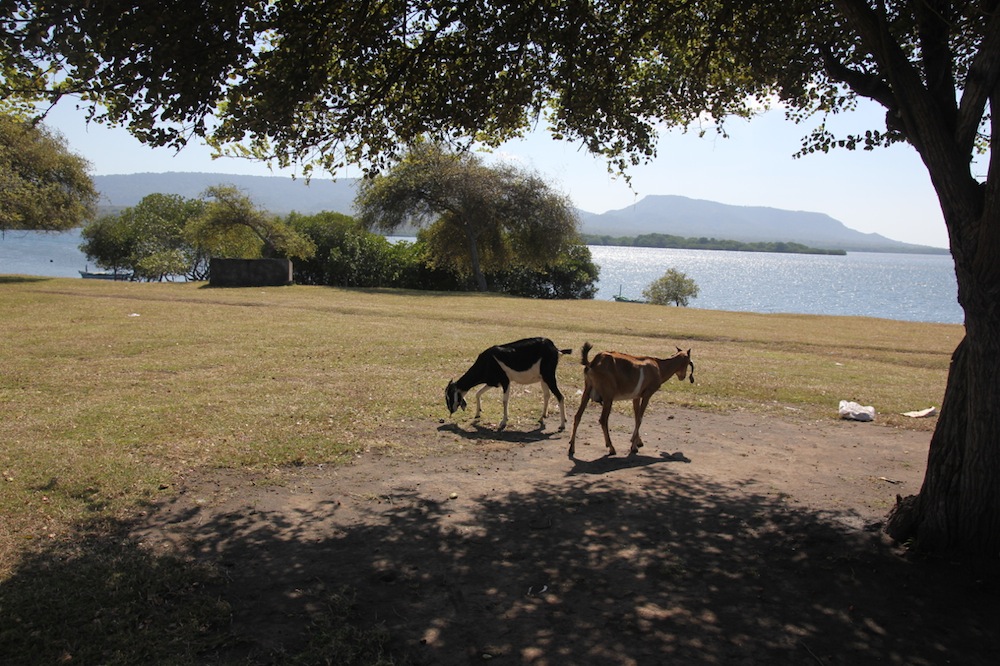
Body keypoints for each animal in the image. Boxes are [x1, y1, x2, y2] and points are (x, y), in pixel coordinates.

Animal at [564, 342, 696, 456]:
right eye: (689, 362)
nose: (683, 376)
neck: (659, 367)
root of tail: (593, 363)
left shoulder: (636, 397)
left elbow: (636, 417)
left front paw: (637, 441)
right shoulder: (647, 394)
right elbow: (640, 418)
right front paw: (633, 447)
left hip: (587, 392)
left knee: (578, 416)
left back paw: (572, 448)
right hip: (608, 398)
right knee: (603, 420)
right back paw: (611, 448)